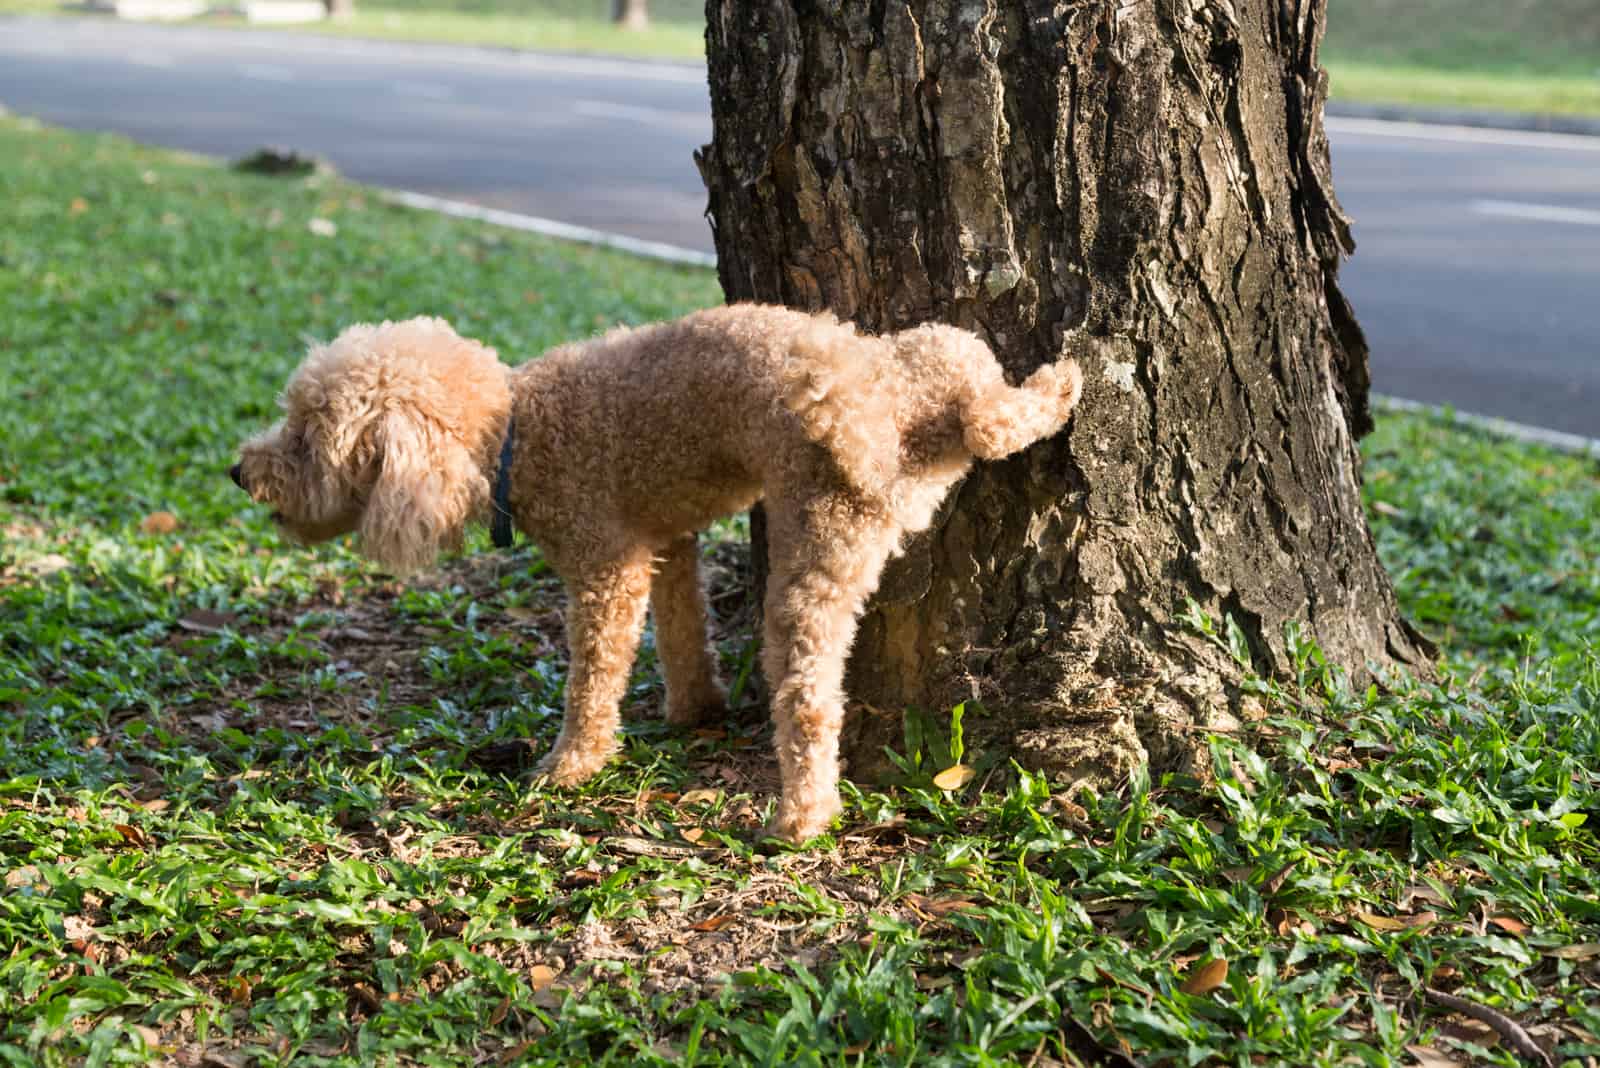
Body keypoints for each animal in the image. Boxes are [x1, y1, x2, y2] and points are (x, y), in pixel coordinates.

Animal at [232, 302, 1081, 844]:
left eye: (306, 437)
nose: (240, 472)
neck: (514, 431)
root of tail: (866, 412)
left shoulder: (607, 572)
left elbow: (593, 679)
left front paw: (570, 765)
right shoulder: (668, 544)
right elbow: (683, 634)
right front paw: (693, 709)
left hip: (815, 550)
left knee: (808, 701)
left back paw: (801, 819)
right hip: (943, 353)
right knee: (994, 410)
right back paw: (1061, 385)